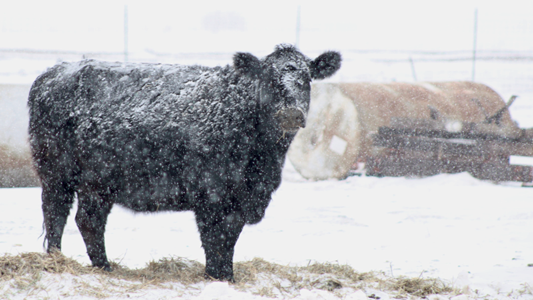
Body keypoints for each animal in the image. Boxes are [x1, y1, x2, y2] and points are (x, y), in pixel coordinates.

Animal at [29, 44, 342, 282]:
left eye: (307, 78)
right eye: (268, 78)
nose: (290, 113)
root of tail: (54, 71)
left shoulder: (240, 199)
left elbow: (229, 240)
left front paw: (226, 276)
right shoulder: (213, 196)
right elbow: (216, 240)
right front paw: (217, 277)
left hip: (97, 183)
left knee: (88, 221)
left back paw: (104, 267)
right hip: (55, 173)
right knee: (56, 214)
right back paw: (56, 261)